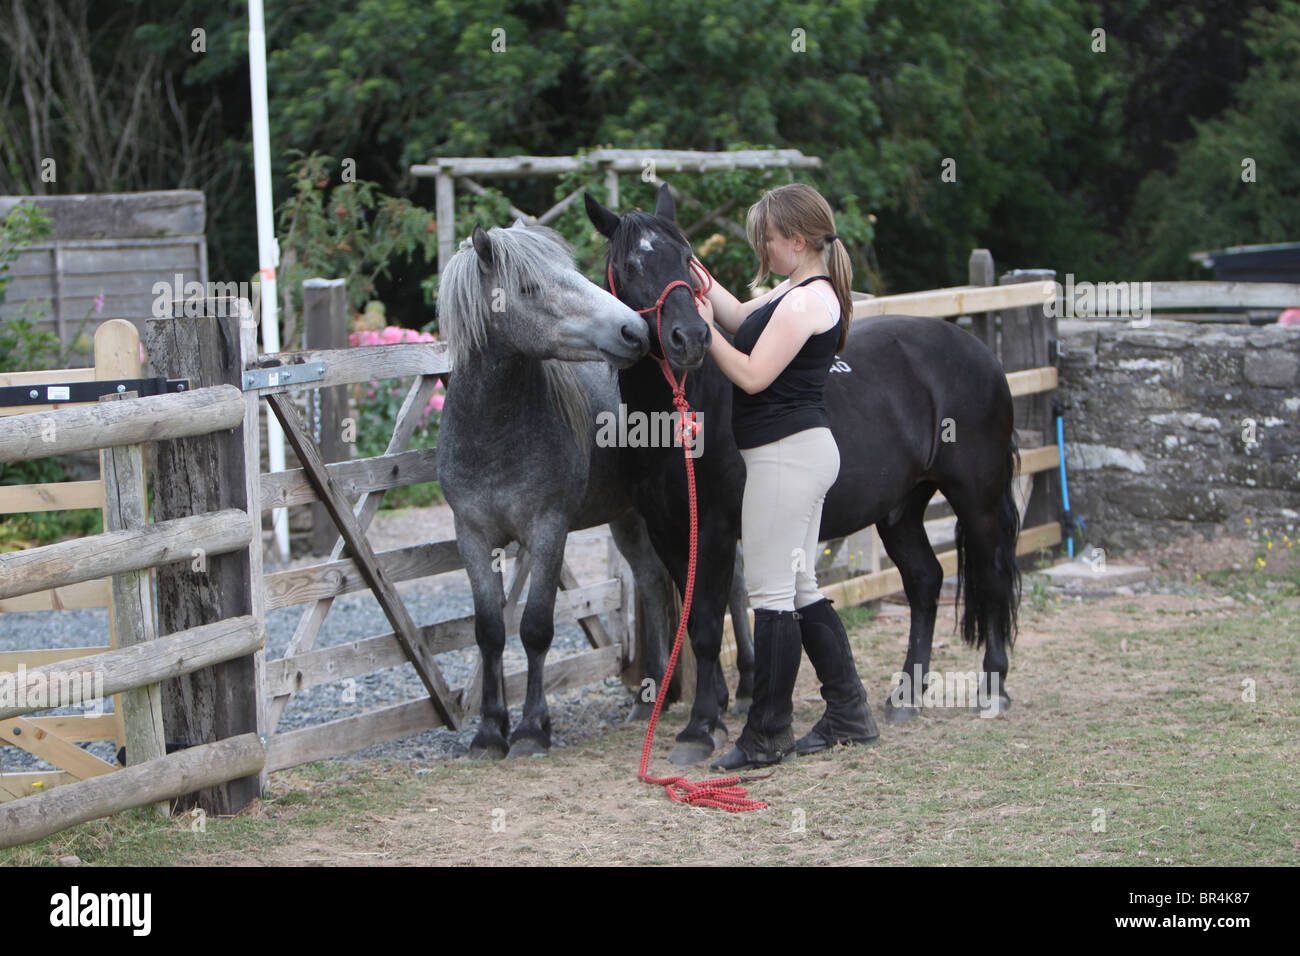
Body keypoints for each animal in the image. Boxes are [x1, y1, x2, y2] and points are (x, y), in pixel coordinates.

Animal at [590, 187, 1024, 764]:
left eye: (687, 260)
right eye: (631, 265)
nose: (691, 338)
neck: (685, 409)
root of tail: (979, 352)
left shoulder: (717, 530)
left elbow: (707, 624)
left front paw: (701, 727)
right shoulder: (670, 531)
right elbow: (695, 619)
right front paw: (715, 713)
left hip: (977, 497)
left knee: (992, 575)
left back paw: (993, 688)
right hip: (901, 509)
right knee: (925, 581)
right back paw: (906, 695)